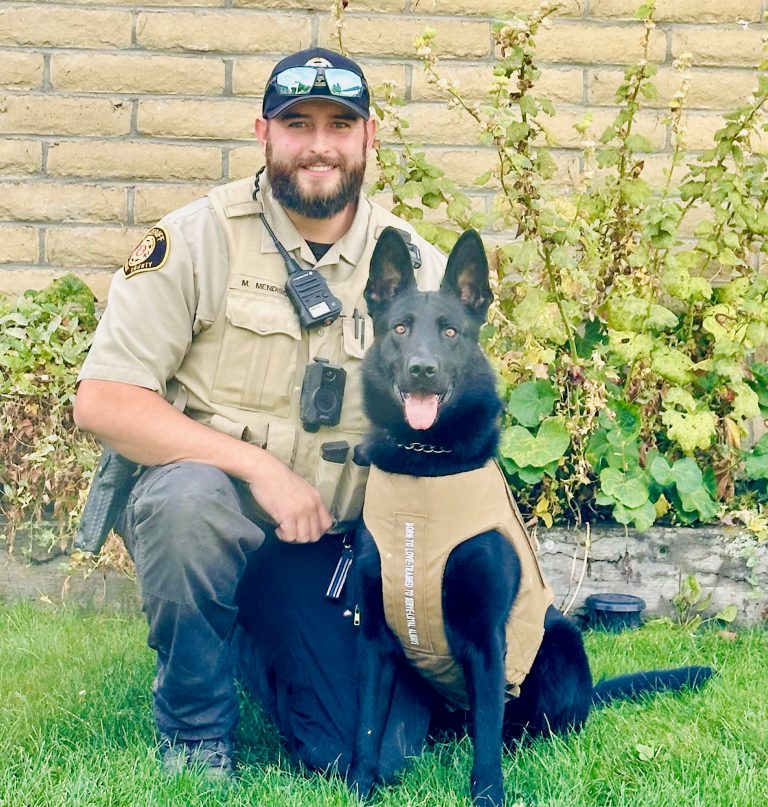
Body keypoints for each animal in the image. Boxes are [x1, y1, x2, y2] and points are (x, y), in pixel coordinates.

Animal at [350, 227, 712, 807]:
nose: (423, 369)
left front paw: (487, 795)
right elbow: (365, 725)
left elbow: (487, 739)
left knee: (535, 727)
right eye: (400, 328)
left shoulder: (487, 637)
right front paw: (359, 787)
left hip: (560, 639)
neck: (427, 466)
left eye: (450, 331)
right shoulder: (376, 638)